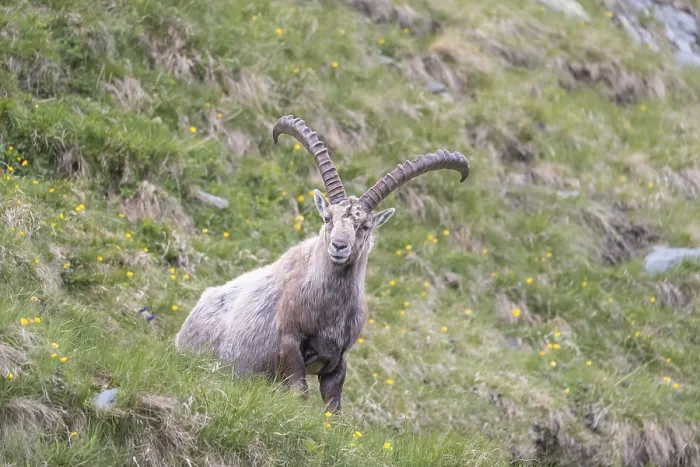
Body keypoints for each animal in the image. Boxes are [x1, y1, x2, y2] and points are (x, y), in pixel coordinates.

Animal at [174, 115, 470, 412]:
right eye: (328, 218)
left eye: (365, 226)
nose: (339, 246)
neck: (329, 309)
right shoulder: (290, 343)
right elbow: (299, 394)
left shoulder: (337, 359)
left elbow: (333, 408)